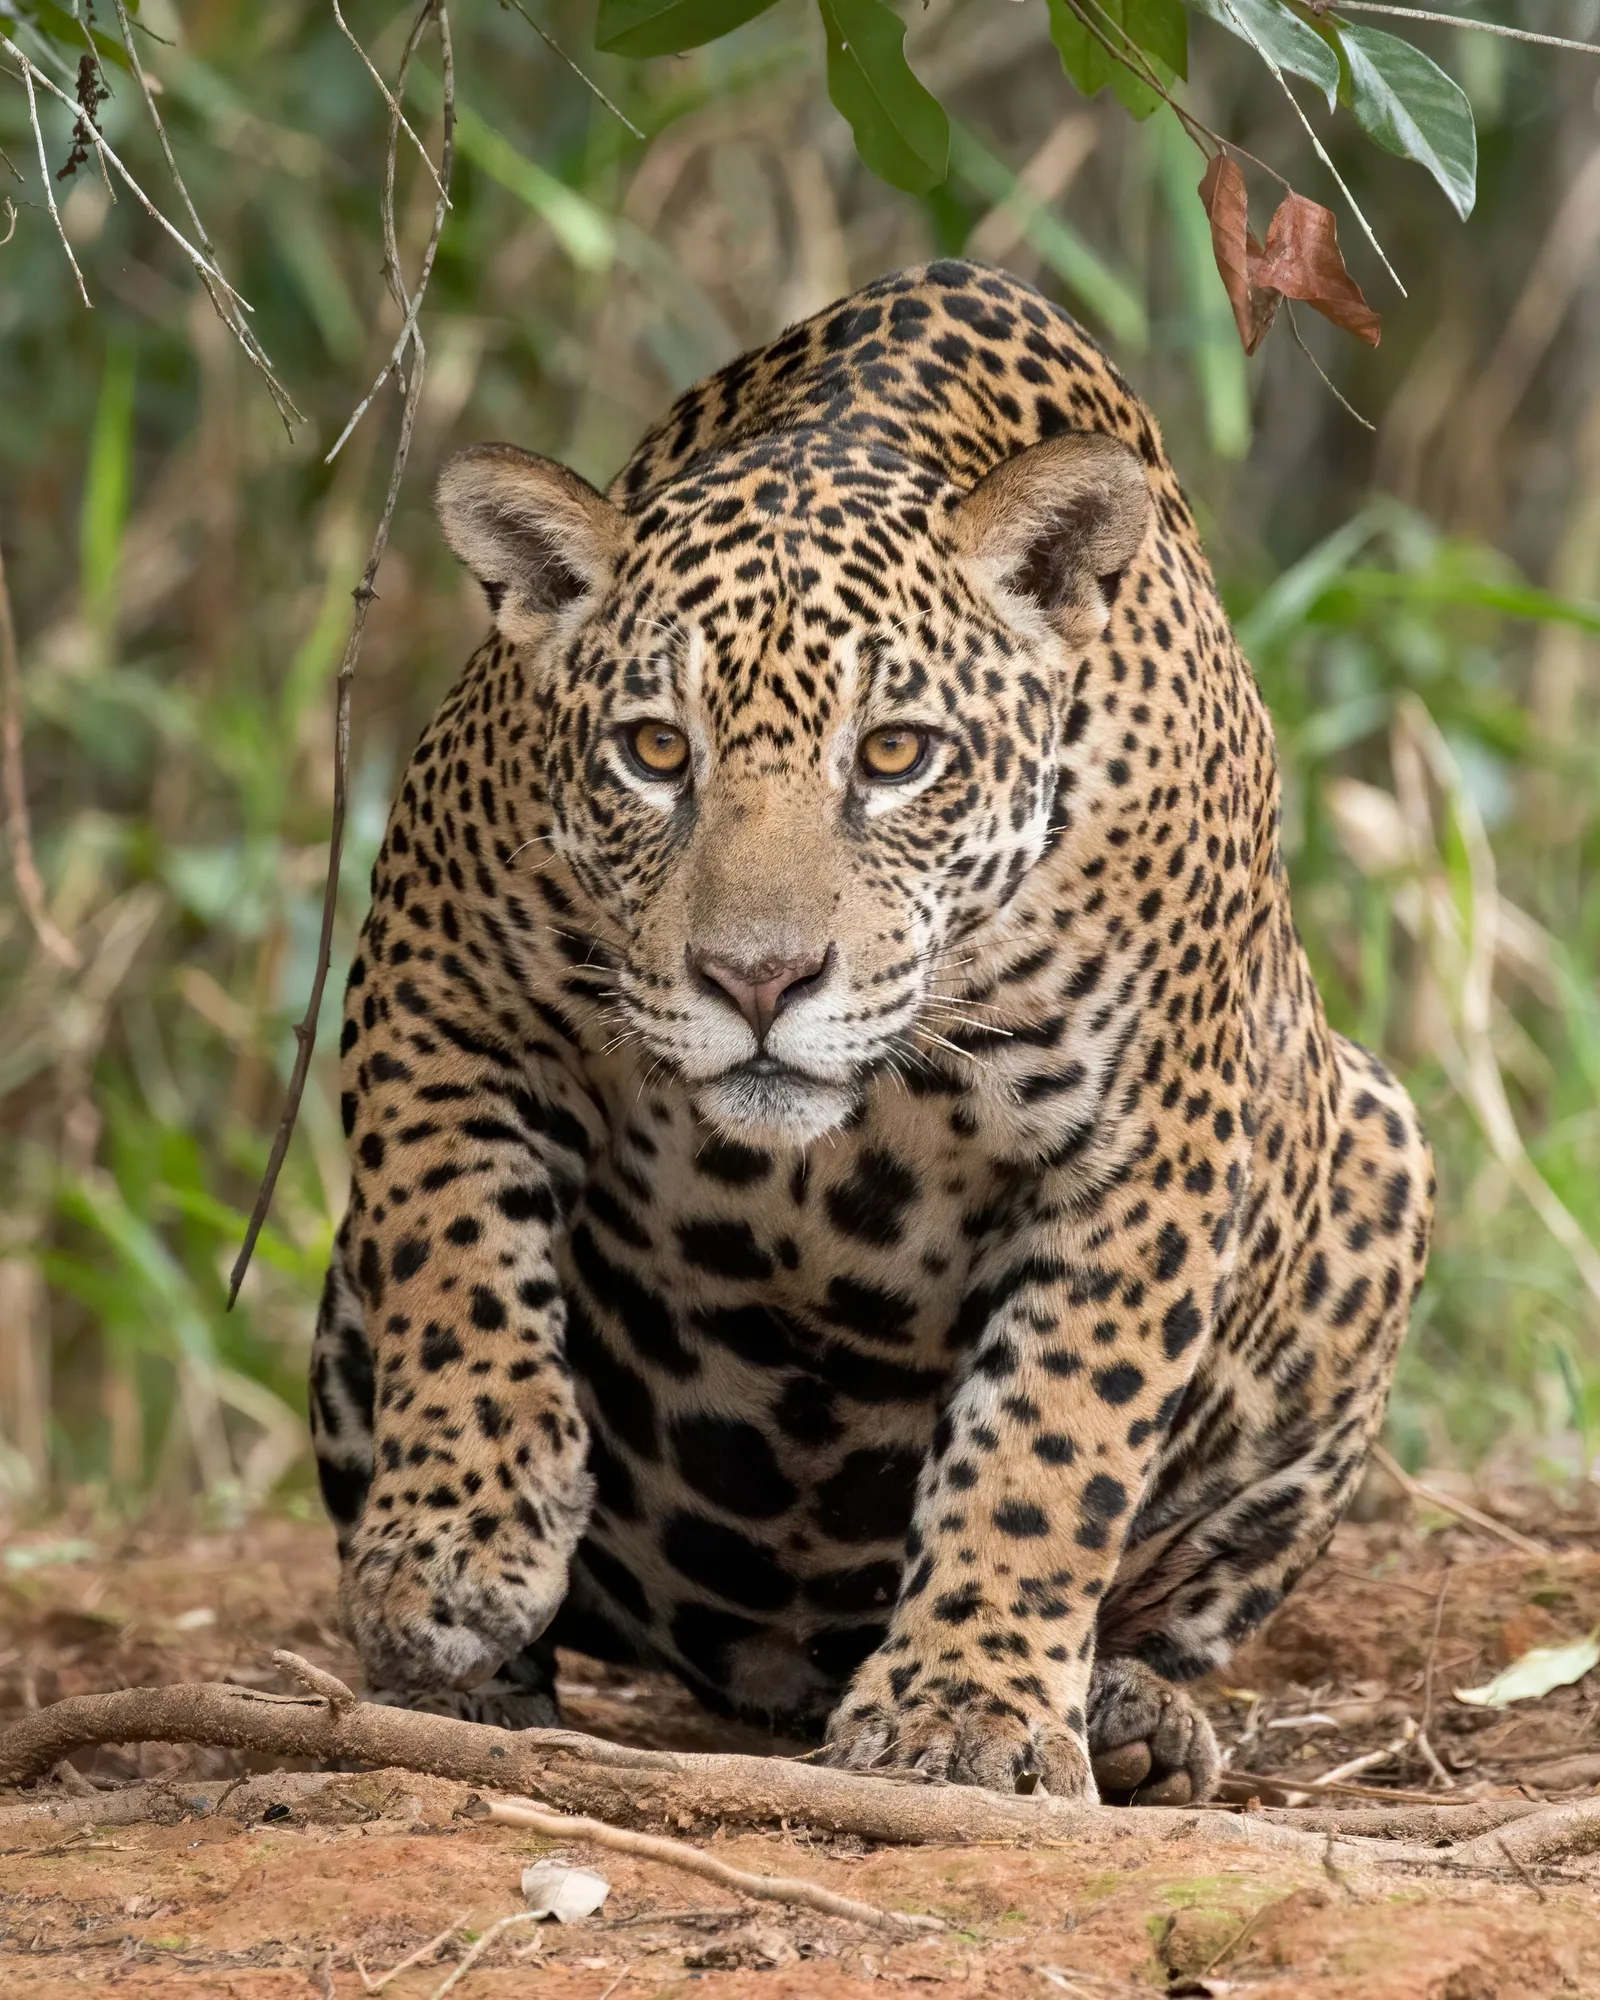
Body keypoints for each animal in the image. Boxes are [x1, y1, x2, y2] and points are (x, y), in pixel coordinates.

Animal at [309, 258, 1433, 1806]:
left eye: (897, 754)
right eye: (654, 751)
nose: (756, 978)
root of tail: (770, 1672)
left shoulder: (1150, 1140)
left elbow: (1052, 1432)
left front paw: (965, 1704)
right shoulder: (436, 971)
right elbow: (455, 1251)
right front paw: (454, 1545)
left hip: (1378, 1157)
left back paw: (1130, 1716)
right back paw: (465, 1689)